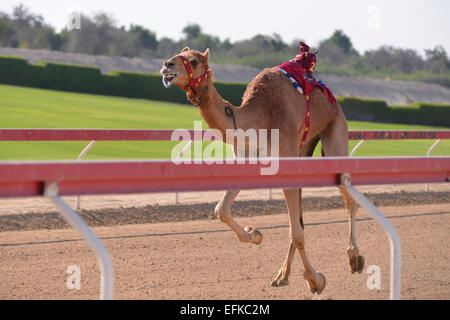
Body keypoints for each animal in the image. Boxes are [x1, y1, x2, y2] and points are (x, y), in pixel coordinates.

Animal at [160, 47, 364, 296]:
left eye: (193, 61)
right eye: (177, 54)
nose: (167, 65)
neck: (258, 118)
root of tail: (333, 99)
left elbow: (296, 233)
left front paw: (316, 280)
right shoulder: (248, 159)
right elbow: (221, 210)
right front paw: (255, 234)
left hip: (334, 131)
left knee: (348, 200)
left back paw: (354, 258)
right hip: (304, 146)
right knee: (301, 217)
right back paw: (282, 276)